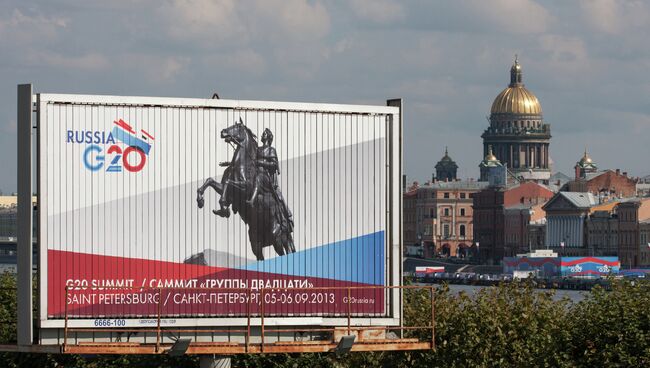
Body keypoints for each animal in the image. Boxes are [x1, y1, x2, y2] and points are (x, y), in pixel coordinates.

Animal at [194, 119, 292, 260]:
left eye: (237, 127)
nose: (223, 132)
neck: (240, 165)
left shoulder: (245, 188)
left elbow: (228, 183)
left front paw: (224, 208)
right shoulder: (227, 191)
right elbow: (210, 181)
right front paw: (201, 200)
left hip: (276, 236)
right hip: (256, 241)